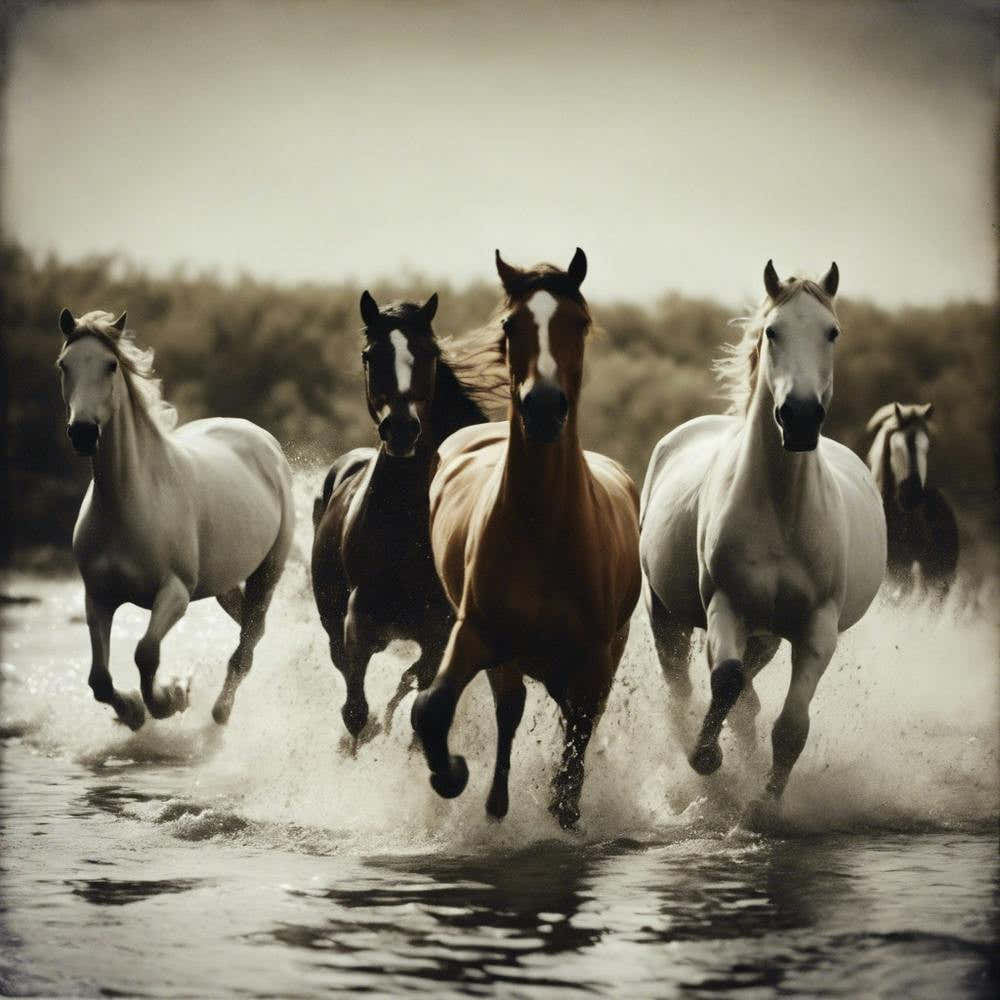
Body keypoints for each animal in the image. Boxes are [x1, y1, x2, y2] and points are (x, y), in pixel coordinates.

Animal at [56, 309, 295, 730]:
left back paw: (220, 711)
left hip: (267, 571)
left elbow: (146, 652)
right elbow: (98, 679)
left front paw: (169, 700)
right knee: (251, 628)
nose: (83, 433)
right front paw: (134, 711)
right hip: (223, 583)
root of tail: (263, 440)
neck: (129, 500)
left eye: (111, 365)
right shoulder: (98, 597)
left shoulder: (175, 593)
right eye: (64, 365)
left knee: (248, 643)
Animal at [311, 291, 504, 747]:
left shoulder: (439, 633)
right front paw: (358, 742)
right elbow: (354, 709)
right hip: (333, 620)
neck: (406, 526)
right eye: (371, 355)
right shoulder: (359, 620)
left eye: (428, 353)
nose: (400, 430)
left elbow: (420, 700)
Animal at [410, 248, 641, 829]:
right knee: (509, 709)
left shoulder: (593, 660)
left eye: (577, 322)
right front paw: (452, 775)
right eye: (511, 325)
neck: (544, 528)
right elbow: (431, 709)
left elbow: (578, 742)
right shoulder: (476, 633)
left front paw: (565, 806)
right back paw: (495, 802)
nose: (542, 407)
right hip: (509, 658)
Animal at [639, 261, 886, 819]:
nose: (800, 417)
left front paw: (765, 804)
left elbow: (790, 725)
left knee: (748, 702)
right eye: (772, 331)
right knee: (686, 690)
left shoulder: (816, 628)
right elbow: (725, 683)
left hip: (768, 636)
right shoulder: (725, 606)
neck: (780, 507)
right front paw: (705, 758)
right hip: (668, 616)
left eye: (832, 331)